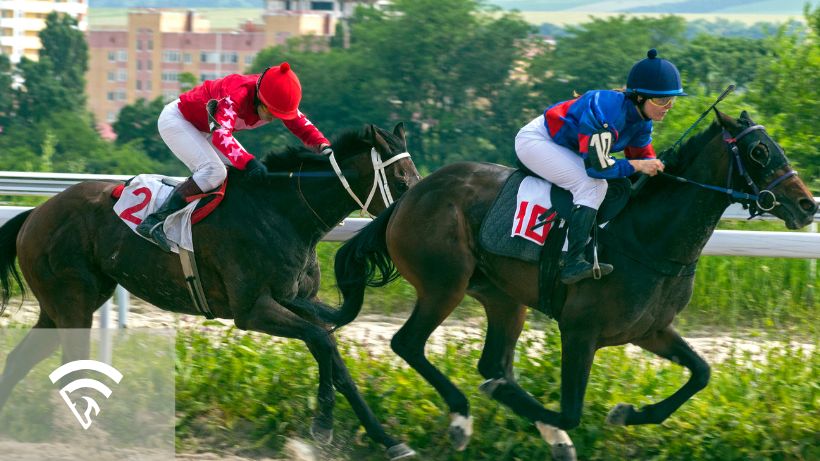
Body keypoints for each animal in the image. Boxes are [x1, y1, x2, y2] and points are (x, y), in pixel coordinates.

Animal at [0, 124, 420, 458]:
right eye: (401, 182)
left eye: (415, 180)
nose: (411, 223)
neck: (284, 213)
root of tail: (35, 214)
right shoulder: (253, 310)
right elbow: (322, 341)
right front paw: (323, 426)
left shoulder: (300, 301)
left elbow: (333, 355)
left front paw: (387, 440)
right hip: (73, 302)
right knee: (71, 369)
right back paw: (94, 438)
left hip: (59, 309)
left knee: (21, 360)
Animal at [326, 110, 812, 456]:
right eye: (759, 152)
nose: (808, 205)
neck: (647, 238)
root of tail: (410, 195)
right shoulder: (580, 329)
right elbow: (572, 411)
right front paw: (563, 423)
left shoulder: (651, 329)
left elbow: (701, 374)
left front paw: (626, 413)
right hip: (444, 283)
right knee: (408, 343)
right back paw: (463, 417)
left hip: (504, 298)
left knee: (492, 363)